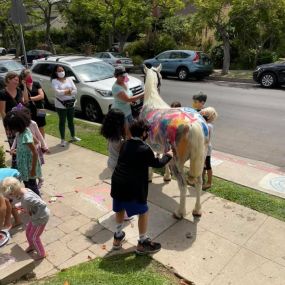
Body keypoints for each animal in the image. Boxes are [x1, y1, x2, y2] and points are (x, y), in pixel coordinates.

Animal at [140, 64, 209, 217]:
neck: (152, 100)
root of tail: (194, 124)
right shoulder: (162, 146)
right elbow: (161, 158)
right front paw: (166, 176)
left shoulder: (148, 144)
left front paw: (149, 177)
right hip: (200, 159)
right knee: (199, 182)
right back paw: (197, 210)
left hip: (178, 162)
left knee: (183, 185)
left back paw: (180, 212)